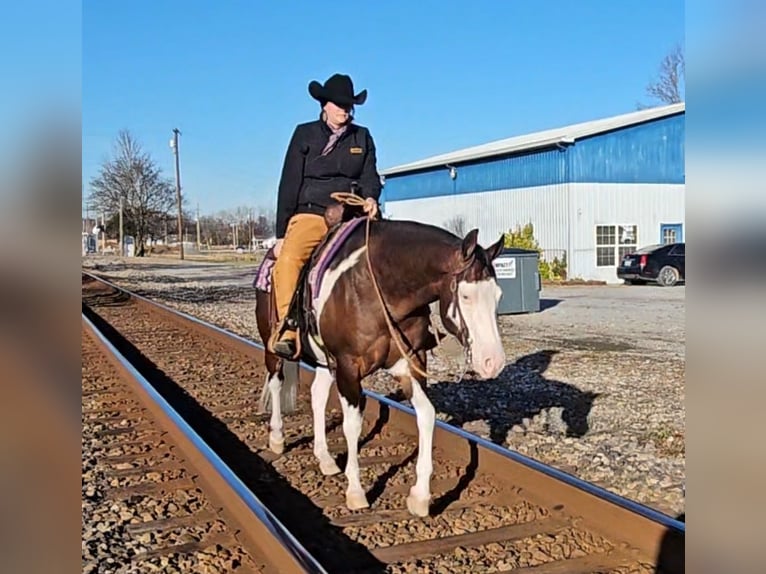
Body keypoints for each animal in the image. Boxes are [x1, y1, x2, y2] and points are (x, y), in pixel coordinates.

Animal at [256, 206, 510, 516]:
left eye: (498, 295)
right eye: (465, 295)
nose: (493, 362)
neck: (377, 290)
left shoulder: (410, 363)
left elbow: (427, 415)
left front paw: (420, 497)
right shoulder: (348, 368)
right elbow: (352, 425)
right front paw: (355, 491)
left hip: (325, 361)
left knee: (317, 396)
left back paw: (325, 458)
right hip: (273, 346)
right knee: (276, 383)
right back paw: (277, 438)